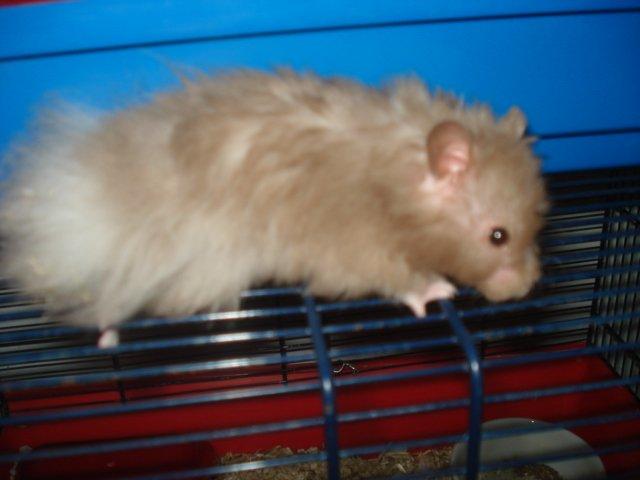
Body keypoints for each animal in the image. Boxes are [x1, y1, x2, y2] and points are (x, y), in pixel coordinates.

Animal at [0, 69, 548, 346]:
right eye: (497, 236)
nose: (526, 289)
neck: (394, 183)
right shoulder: (356, 249)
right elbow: (402, 278)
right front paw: (440, 290)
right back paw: (108, 335)